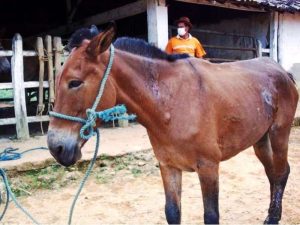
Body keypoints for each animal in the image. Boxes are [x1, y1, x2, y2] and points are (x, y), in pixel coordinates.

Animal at [47, 23, 298, 224]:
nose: (56, 147)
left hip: (279, 134)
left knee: (281, 172)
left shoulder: (208, 168)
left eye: (75, 83)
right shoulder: (168, 166)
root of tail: (280, 71)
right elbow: (172, 212)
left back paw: (273, 218)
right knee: (272, 173)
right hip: (260, 139)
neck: (171, 102)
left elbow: (211, 216)